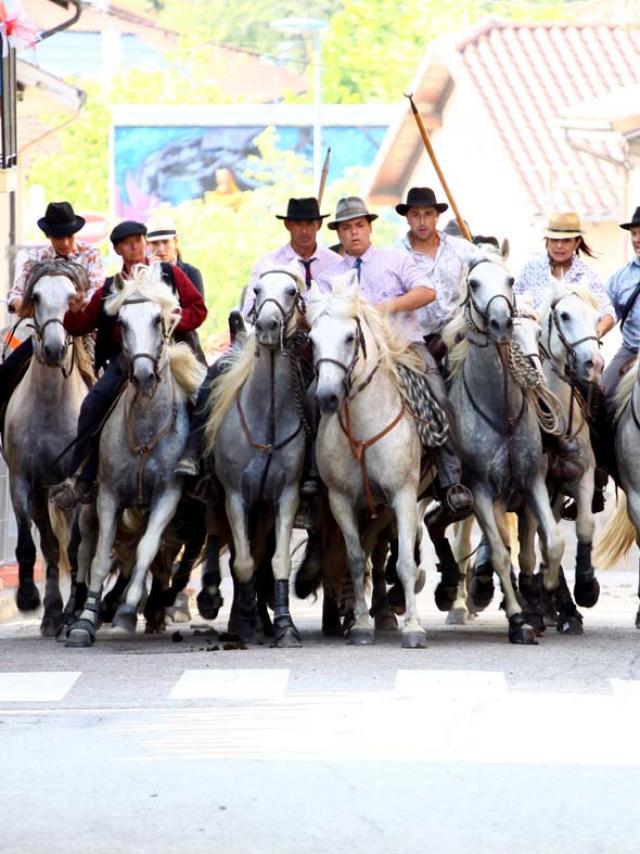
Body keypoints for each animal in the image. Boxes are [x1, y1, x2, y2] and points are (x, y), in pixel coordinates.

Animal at [306, 276, 428, 648]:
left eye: (349, 337)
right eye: (311, 339)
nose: (327, 397)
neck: (364, 427)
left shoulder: (404, 494)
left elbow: (404, 562)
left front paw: (414, 629)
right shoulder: (341, 500)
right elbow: (356, 559)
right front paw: (360, 625)